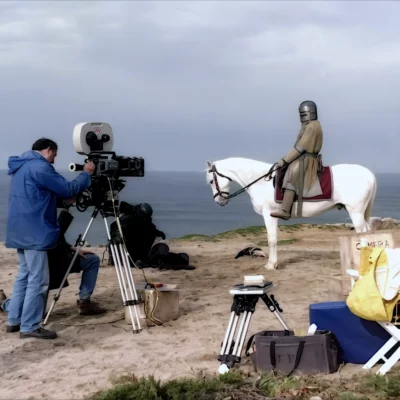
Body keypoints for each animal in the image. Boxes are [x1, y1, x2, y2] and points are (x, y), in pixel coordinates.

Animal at [206, 158, 378, 270]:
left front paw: (271, 264)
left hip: (355, 212)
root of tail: (369, 174)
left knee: (363, 235)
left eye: (211, 181)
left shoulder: (269, 215)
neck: (261, 181)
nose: (219, 201)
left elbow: (272, 240)